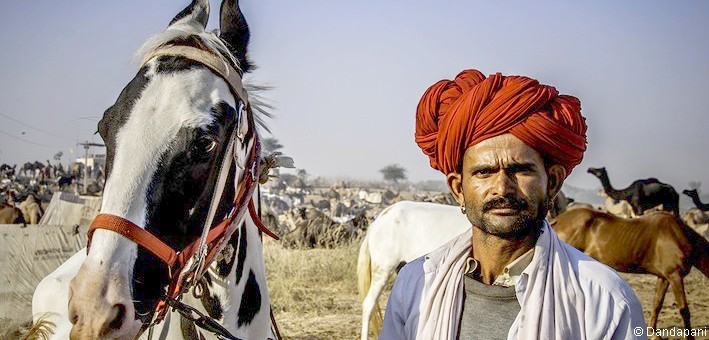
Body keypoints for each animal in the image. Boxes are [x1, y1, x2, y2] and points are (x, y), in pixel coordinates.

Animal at [552, 207, 708, 338]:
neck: (679, 236)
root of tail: (558, 220)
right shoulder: (675, 276)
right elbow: (684, 310)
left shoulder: (663, 277)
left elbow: (657, 304)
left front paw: (653, 333)